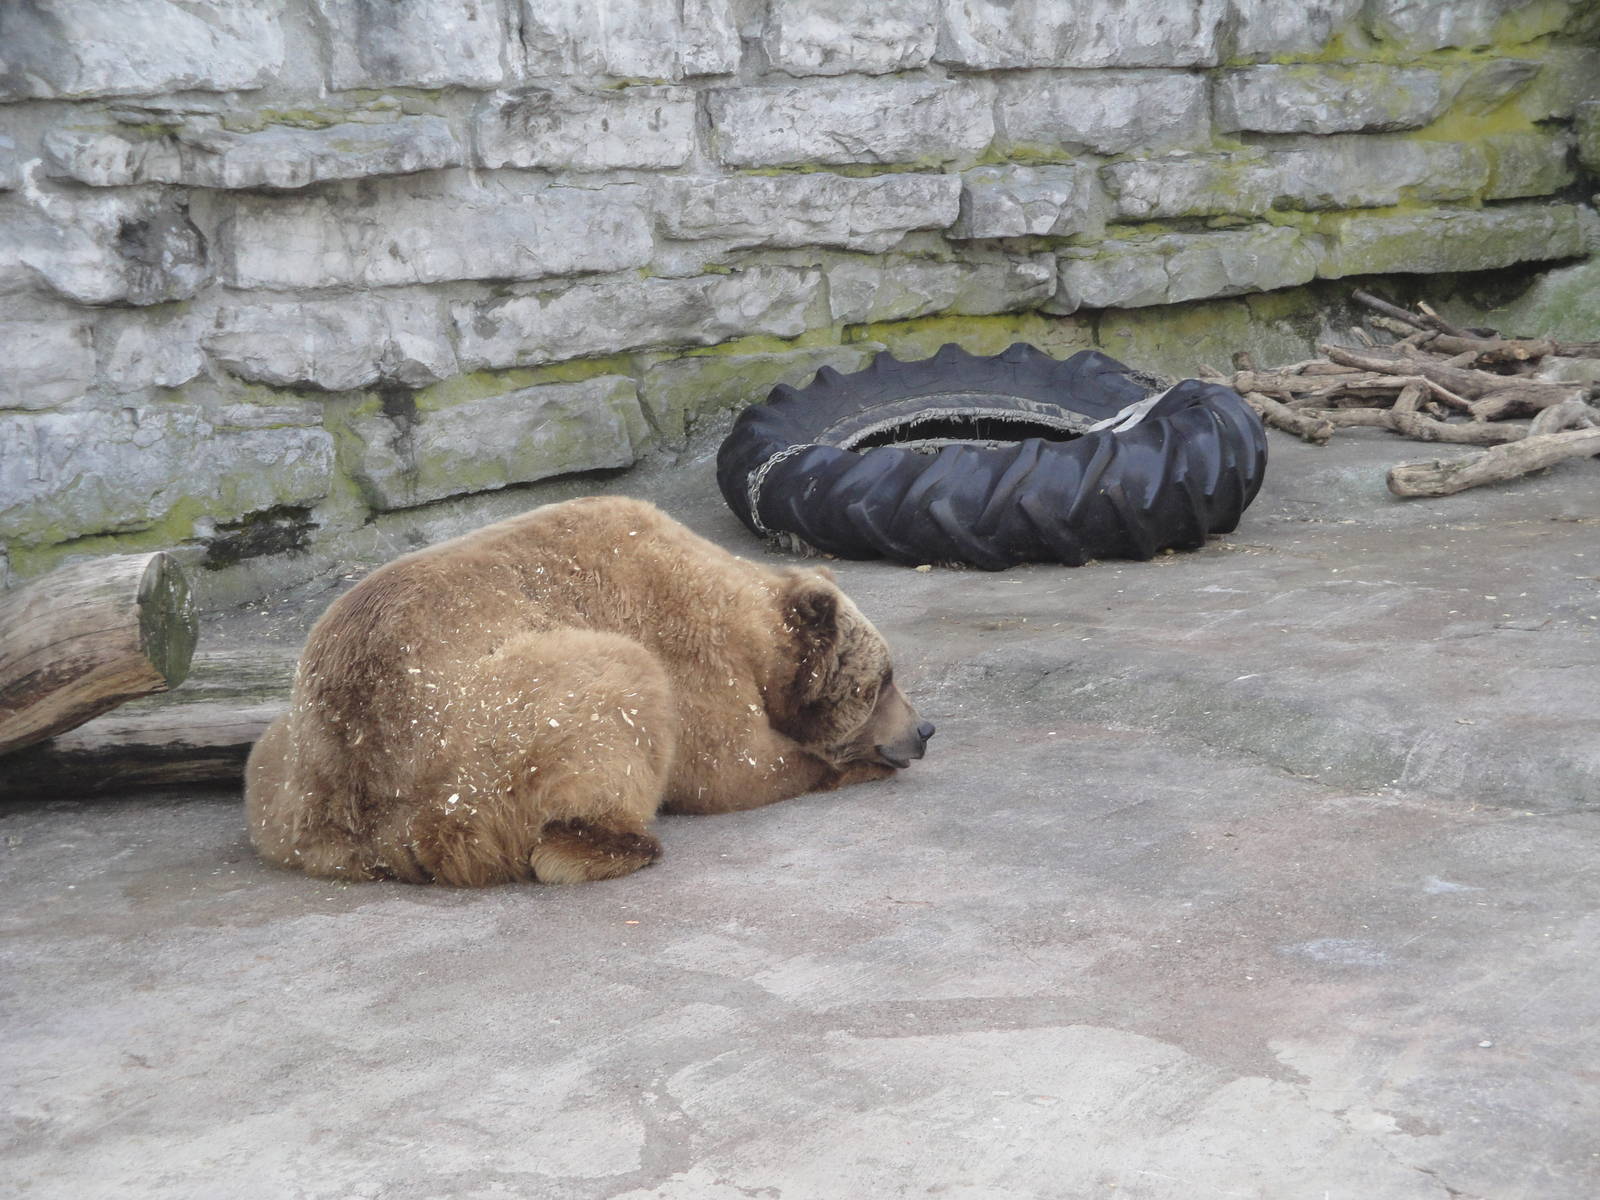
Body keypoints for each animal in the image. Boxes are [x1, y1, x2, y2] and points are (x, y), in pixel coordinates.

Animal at [244, 496, 933, 887]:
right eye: (884, 680)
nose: (924, 731)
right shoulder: (687, 642)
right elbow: (730, 765)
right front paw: (850, 764)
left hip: (290, 767)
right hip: (478, 734)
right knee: (612, 694)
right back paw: (617, 845)